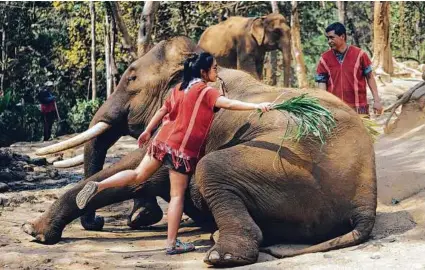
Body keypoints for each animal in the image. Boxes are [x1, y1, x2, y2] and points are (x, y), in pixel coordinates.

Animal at [23, 36, 374, 268]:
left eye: (131, 78)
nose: (97, 224)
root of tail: (365, 203)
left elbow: (147, 167)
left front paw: (35, 232)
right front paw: (140, 217)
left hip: (287, 170)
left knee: (211, 168)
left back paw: (219, 253)